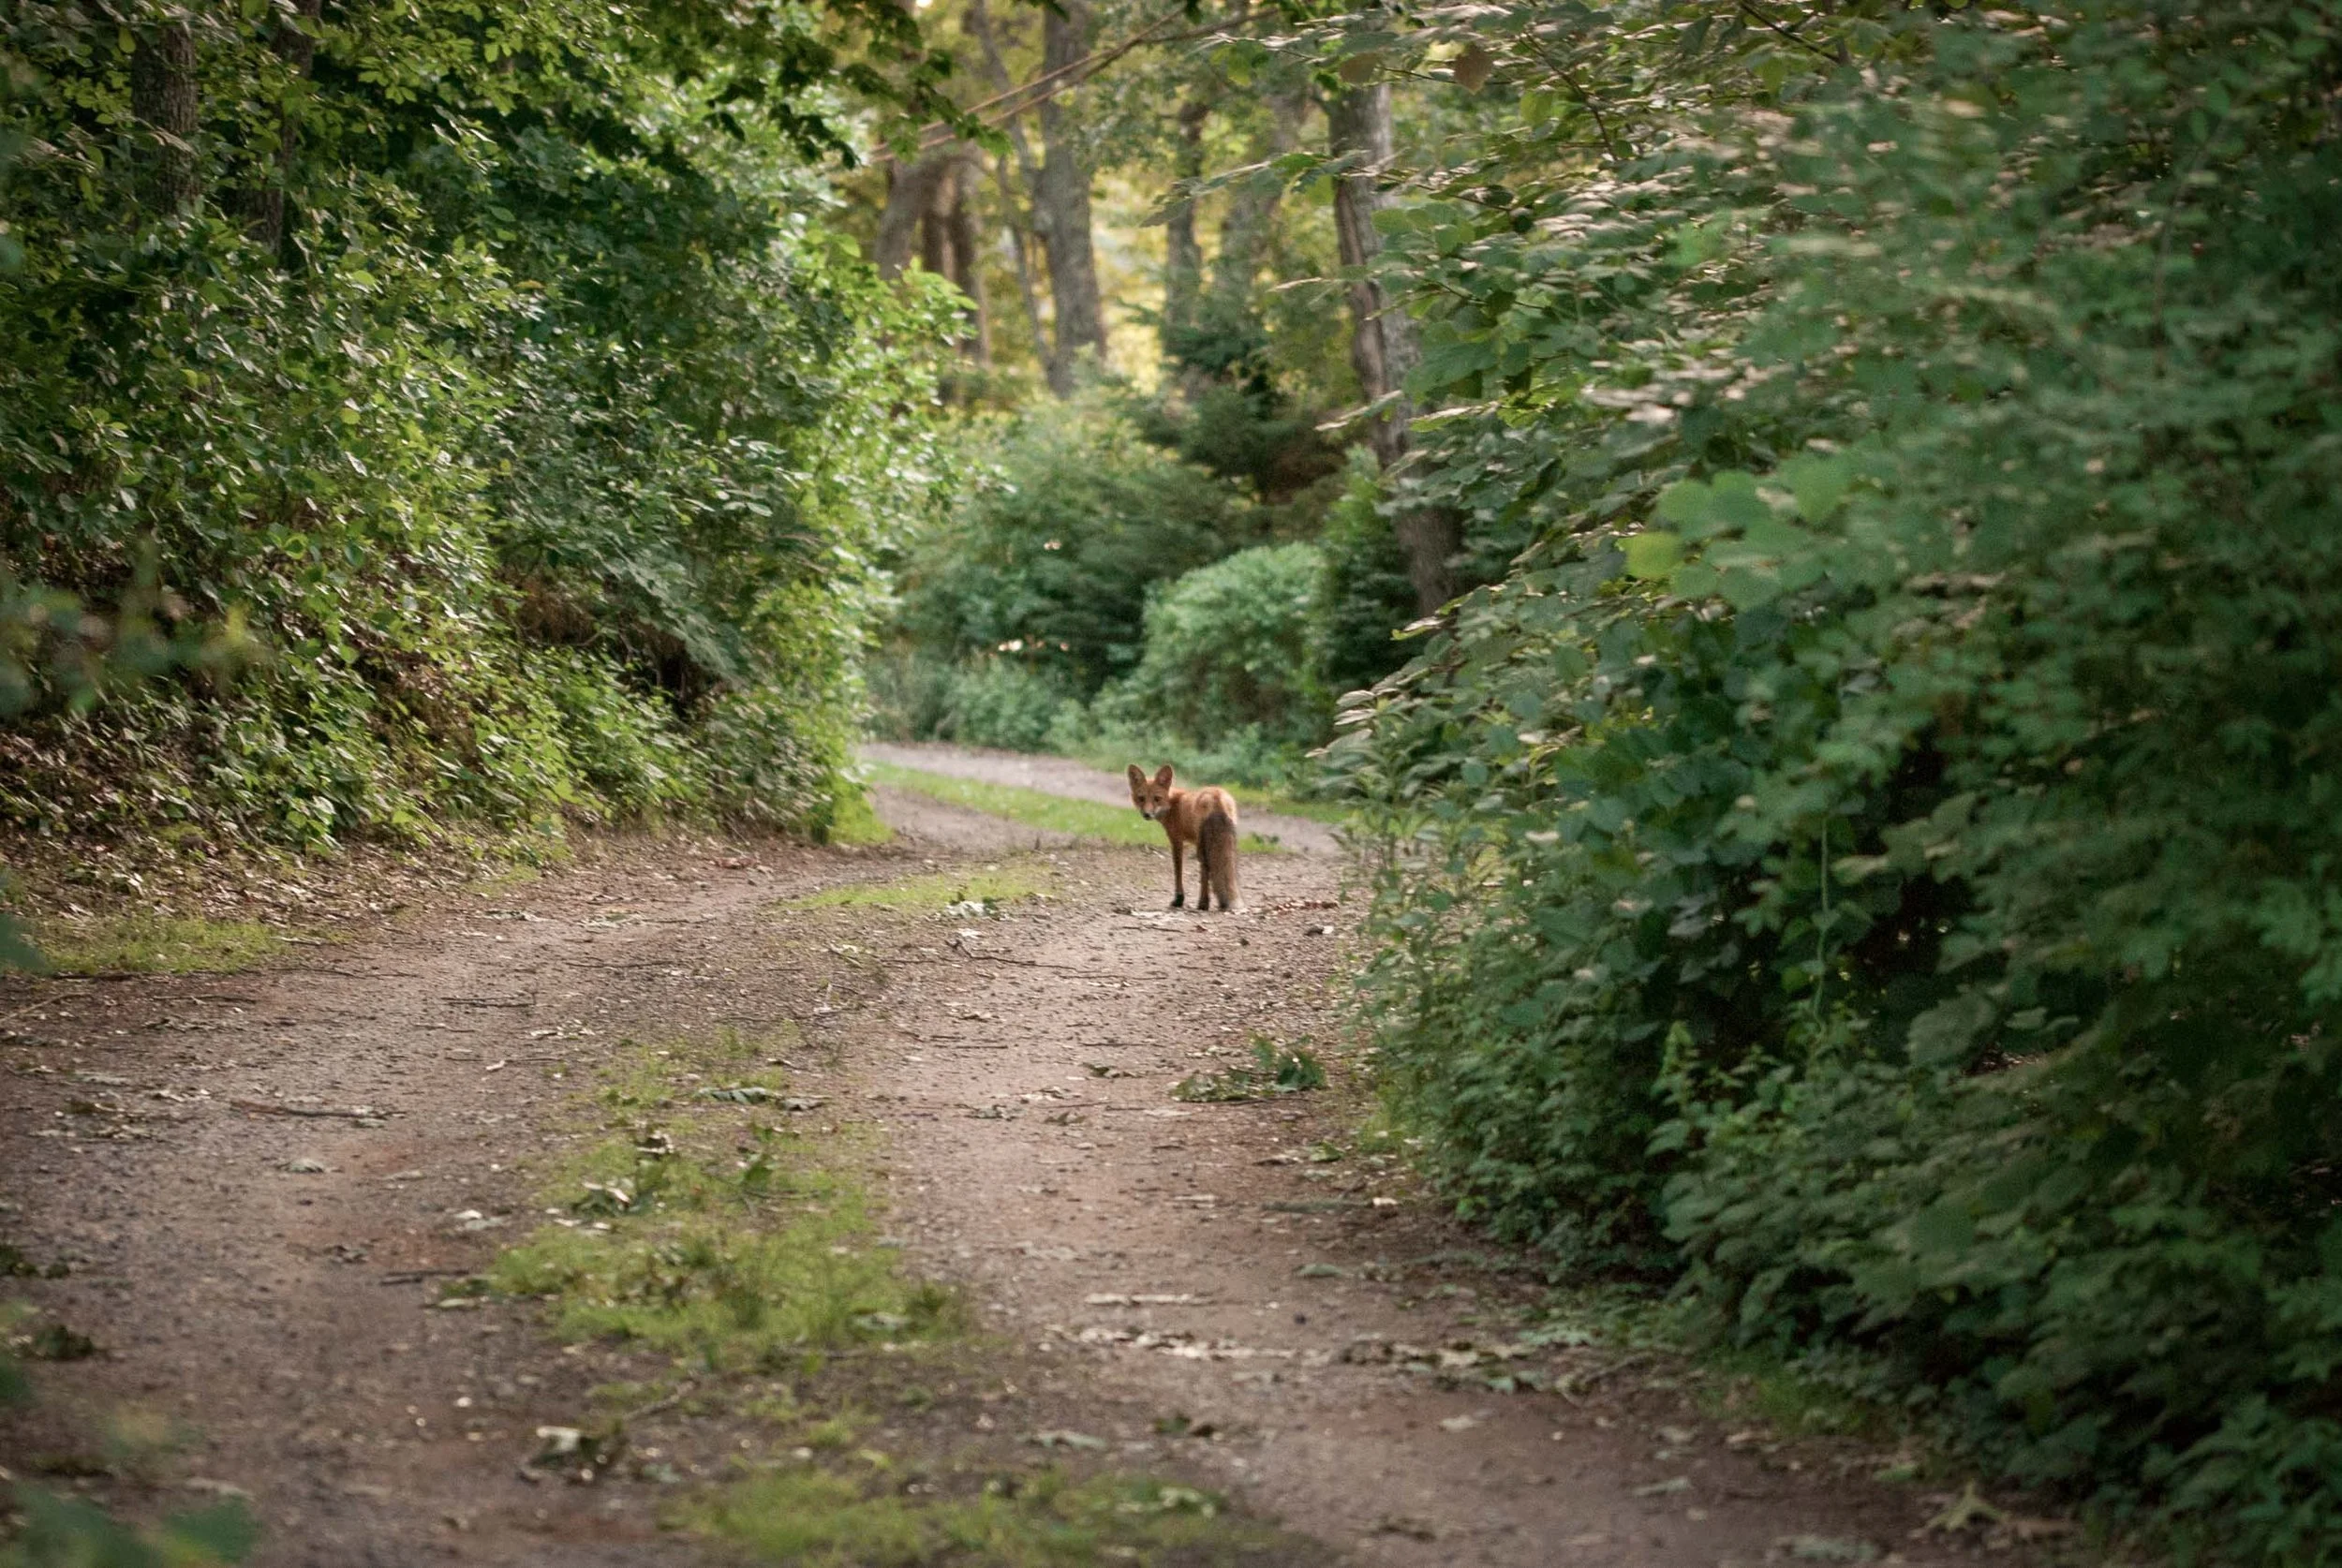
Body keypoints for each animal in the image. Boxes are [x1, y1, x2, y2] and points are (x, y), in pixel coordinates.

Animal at [1126, 763, 1242, 913]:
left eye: (1157, 798)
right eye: (1141, 798)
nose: (1147, 814)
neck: (1172, 805)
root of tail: (1217, 796)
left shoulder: (1176, 840)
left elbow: (1178, 870)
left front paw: (1178, 899)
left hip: (1202, 845)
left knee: (1206, 869)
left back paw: (1203, 904)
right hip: (1228, 840)